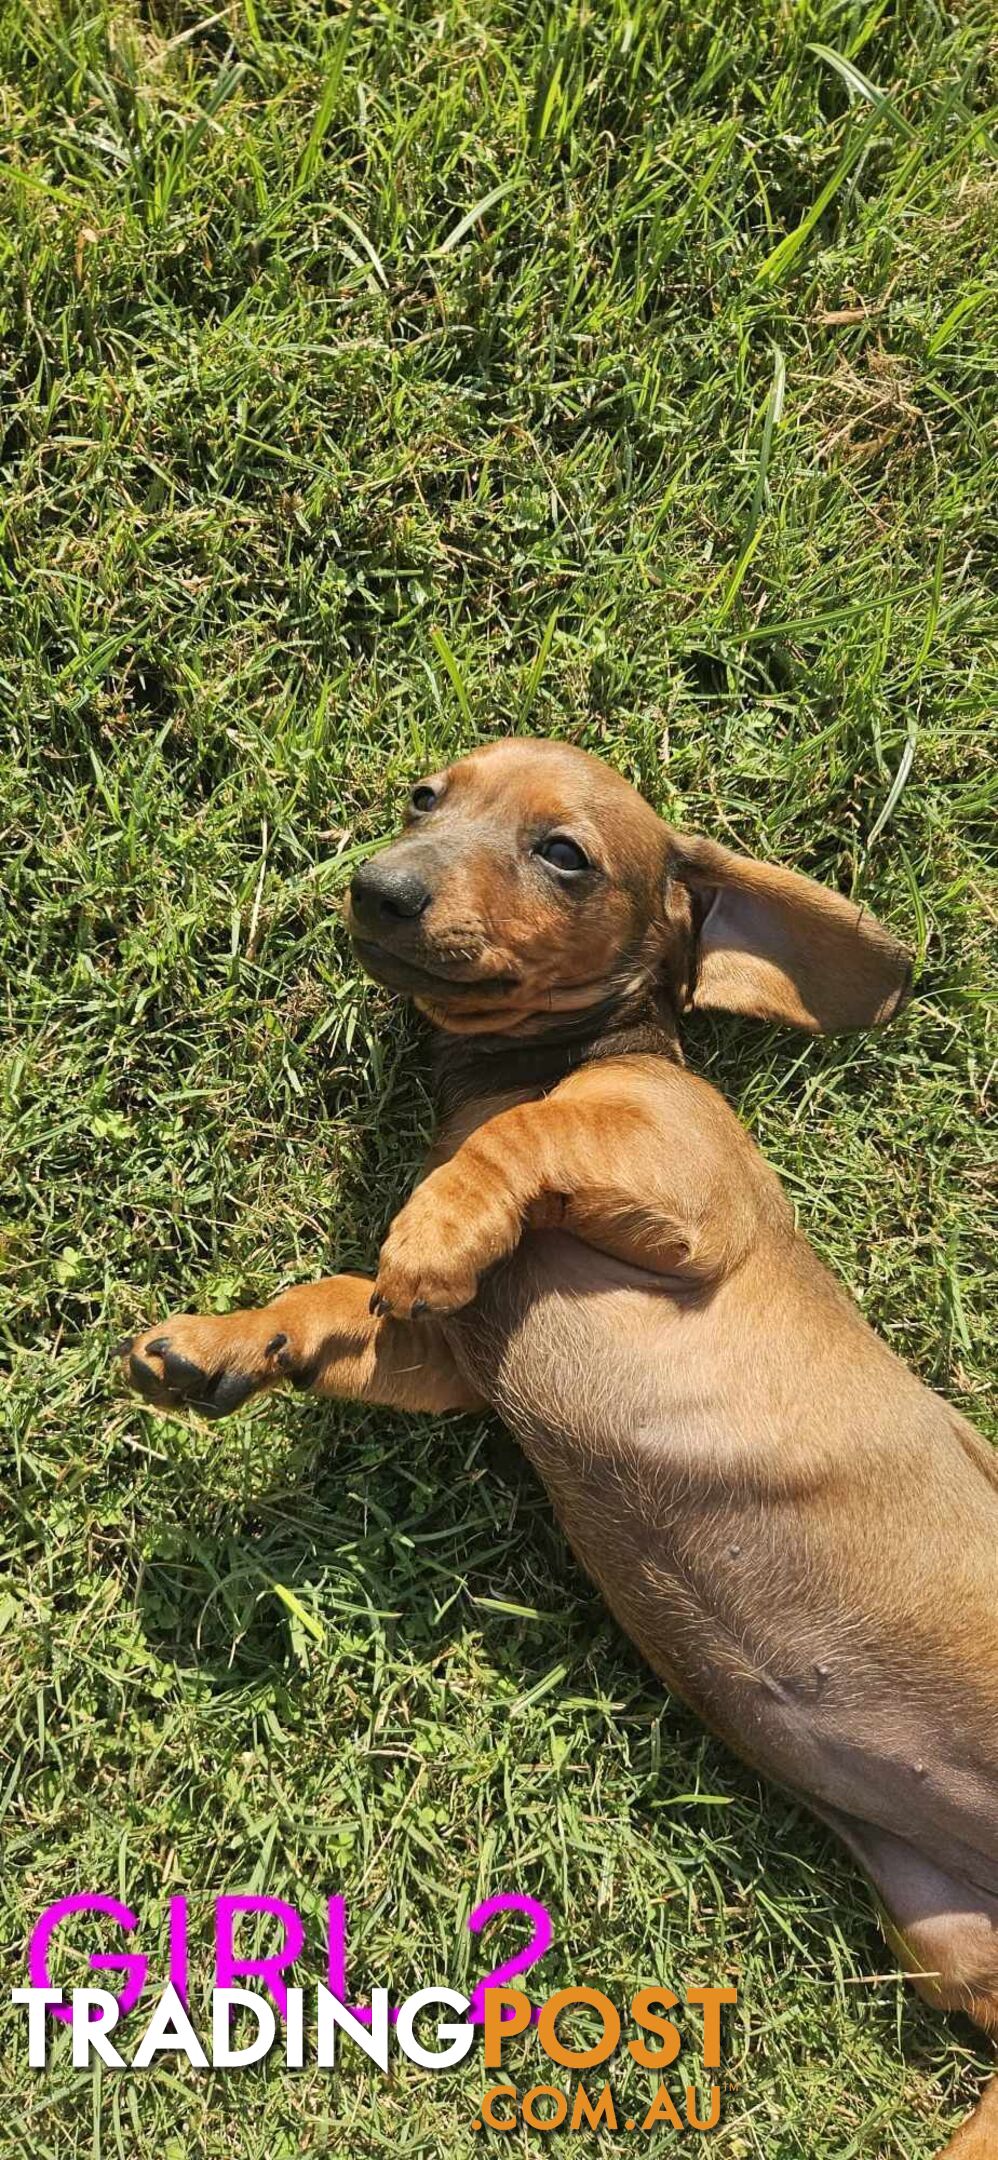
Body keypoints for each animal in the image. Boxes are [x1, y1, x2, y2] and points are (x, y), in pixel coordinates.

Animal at [122, 743, 998, 2160]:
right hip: (955, 1943)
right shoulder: (441, 1360)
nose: (378, 887)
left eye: (564, 855)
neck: (540, 1060)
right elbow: (337, 1297)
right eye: (426, 798)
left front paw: (434, 1220)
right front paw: (224, 1343)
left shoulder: (678, 1186)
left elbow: (515, 1146)